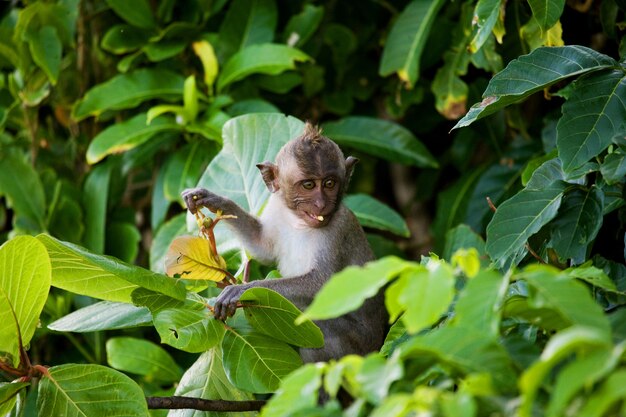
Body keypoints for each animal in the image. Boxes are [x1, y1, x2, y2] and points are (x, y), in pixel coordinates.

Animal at [182, 122, 386, 360]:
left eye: (329, 183)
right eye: (308, 185)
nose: (321, 203)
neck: (300, 222)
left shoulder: (338, 228)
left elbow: (322, 283)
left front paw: (242, 289)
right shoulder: (275, 206)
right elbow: (261, 247)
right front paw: (216, 201)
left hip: (358, 345)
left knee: (317, 322)